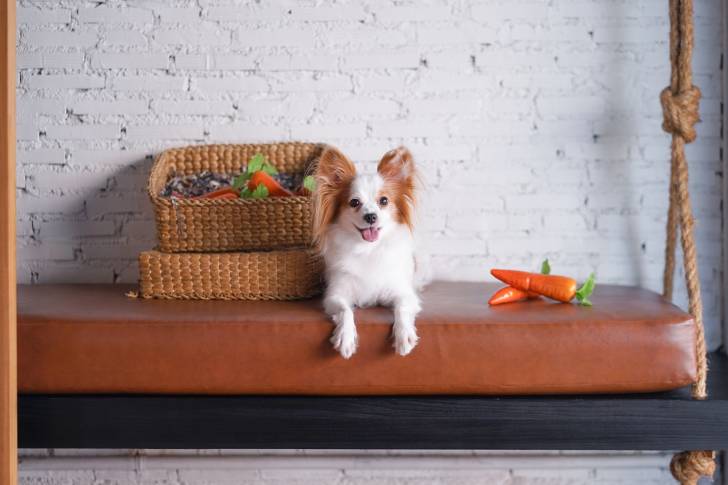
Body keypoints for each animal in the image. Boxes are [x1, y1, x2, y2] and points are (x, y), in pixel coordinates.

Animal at [312, 145, 422, 359]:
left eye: (384, 201)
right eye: (354, 202)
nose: (371, 216)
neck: (368, 249)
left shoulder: (404, 293)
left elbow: (402, 308)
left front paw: (404, 336)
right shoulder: (335, 296)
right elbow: (346, 311)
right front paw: (346, 338)